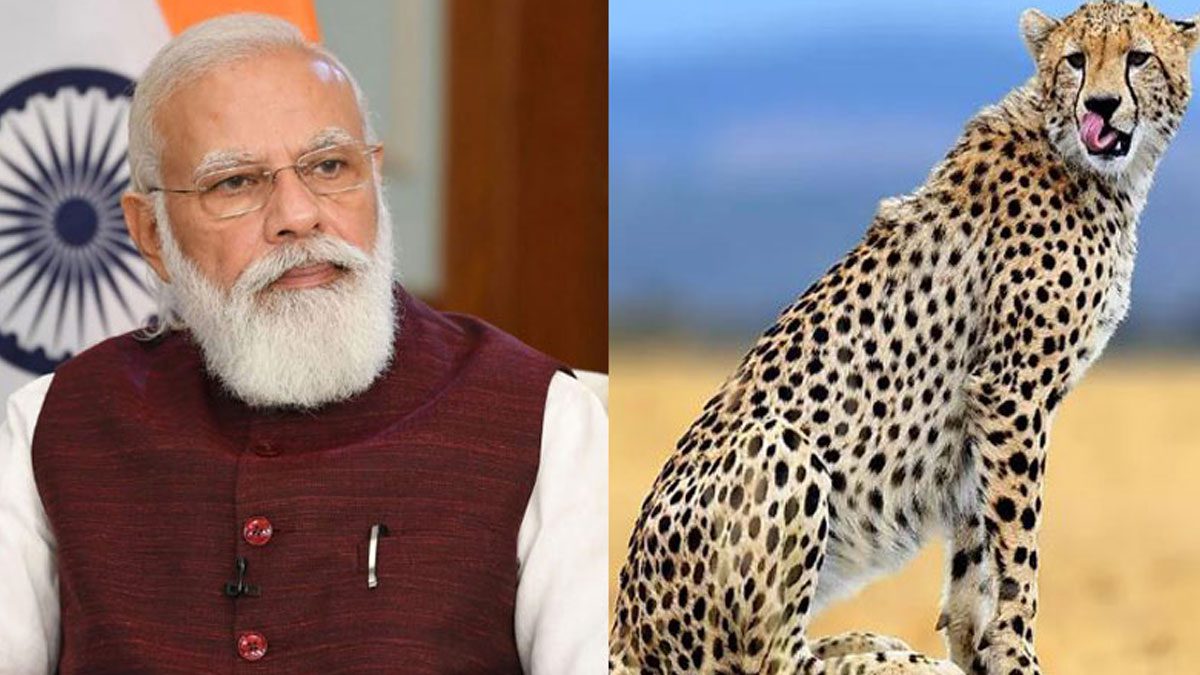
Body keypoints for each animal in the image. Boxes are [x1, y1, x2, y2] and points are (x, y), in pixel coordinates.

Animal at [611, 3, 1198, 674]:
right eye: (1075, 60)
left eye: (1138, 57)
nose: (1100, 104)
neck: (1087, 161)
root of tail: (624, 627)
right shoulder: (1011, 392)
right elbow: (1017, 547)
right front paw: (1016, 653)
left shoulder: (982, 414)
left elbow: (977, 547)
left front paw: (978, 647)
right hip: (781, 444)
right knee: (773, 659)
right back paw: (889, 660)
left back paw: (879, 645)